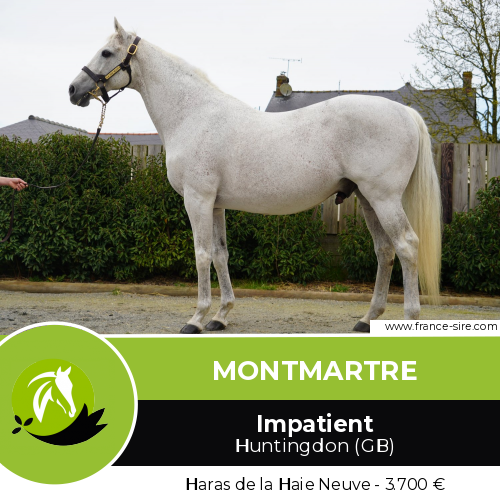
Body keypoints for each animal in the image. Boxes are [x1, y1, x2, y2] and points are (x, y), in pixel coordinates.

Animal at [69, 19, 442, 334]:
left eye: (106, 53)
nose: (73, 90)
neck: (192, 114)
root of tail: (406, 113)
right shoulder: (216, 205)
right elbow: (220, 255)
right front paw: (220, 316)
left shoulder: (197, 200)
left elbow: (201, 254)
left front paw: (196, 319)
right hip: (367, 199)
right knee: (385, 251)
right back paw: (367, 319)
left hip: (383, 198)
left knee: (407, 246)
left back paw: (410, 317)